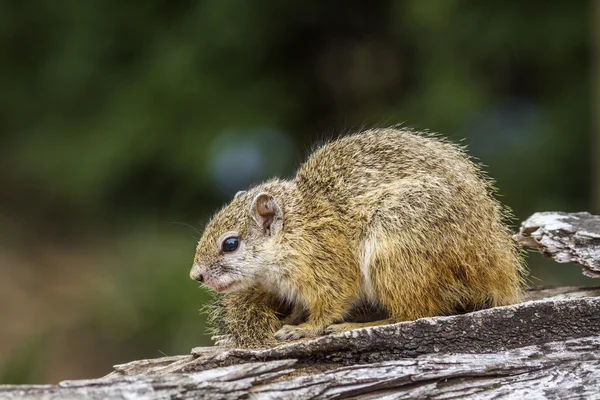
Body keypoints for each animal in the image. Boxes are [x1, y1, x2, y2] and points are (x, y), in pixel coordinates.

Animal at [191, 128, 524, 346]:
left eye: (230, 244)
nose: (196, 275)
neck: (297, 228)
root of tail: (495, 270)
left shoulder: (328, 265)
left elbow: (331, 302)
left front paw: (305, 328)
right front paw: (290, 319)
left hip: (395, 250)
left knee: (413, 314)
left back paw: (349, 326)